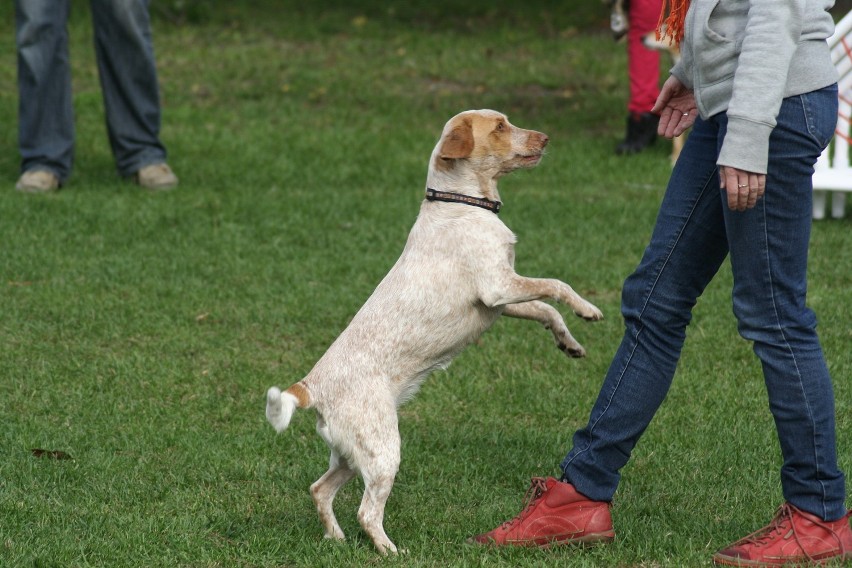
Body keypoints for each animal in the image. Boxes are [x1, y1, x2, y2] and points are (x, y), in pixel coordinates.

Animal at [262, 108, 604, 552]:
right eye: (500, 126)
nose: (546, 138)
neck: (464, 203)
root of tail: (309, 387)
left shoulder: (501, 301)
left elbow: (547, 310)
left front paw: (570, 344)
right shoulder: (499, 286)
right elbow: (557, 286)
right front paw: (589, 308)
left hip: (351, 455)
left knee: (320, 489)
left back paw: (336, 539)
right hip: (383, 452)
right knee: (366, 512)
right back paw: (391, 551)